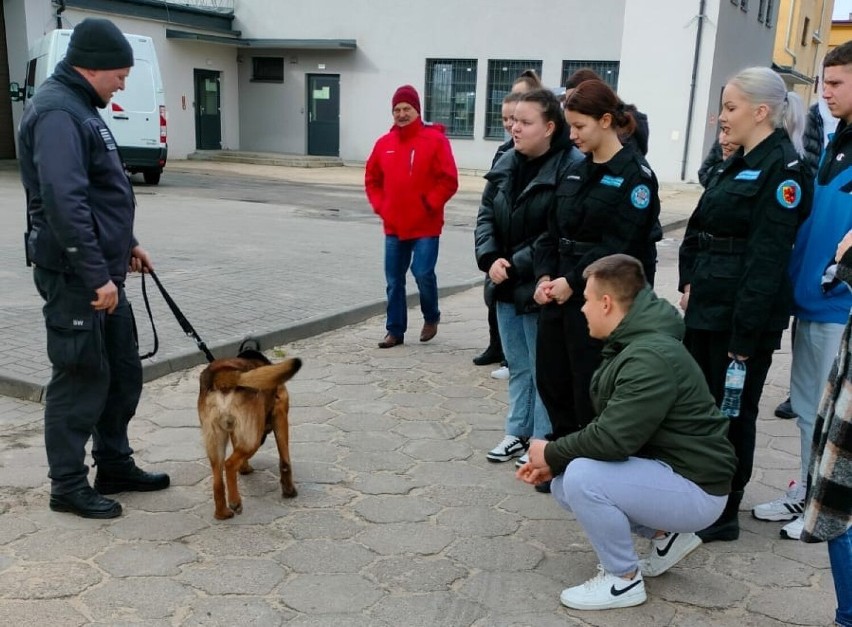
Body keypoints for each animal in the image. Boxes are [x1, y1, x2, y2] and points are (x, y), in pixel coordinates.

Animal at [196, 348, 302, 520]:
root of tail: (224, 376)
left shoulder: (235, 431)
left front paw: (245, 468)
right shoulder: (280, 414)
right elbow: (285, 462)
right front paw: (289, 490)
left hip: (215, 441)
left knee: (218, 481)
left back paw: (222, 513)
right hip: (253, 439)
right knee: (229, 464)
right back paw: (235, 502)